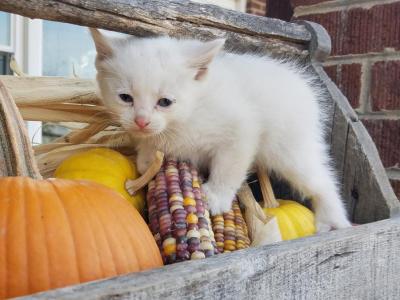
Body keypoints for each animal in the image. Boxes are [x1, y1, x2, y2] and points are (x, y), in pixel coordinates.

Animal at [90, 28, 350, 230]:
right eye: (125, 98)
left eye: (165, 102)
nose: (141, 121)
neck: (189, 113)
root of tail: (304, 86)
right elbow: (150, 147)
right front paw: (146, 159)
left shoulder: (241, 129)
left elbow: (229, 167)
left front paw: (216, 196)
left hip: (289, 147)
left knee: (321, 180)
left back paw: (332, 220)